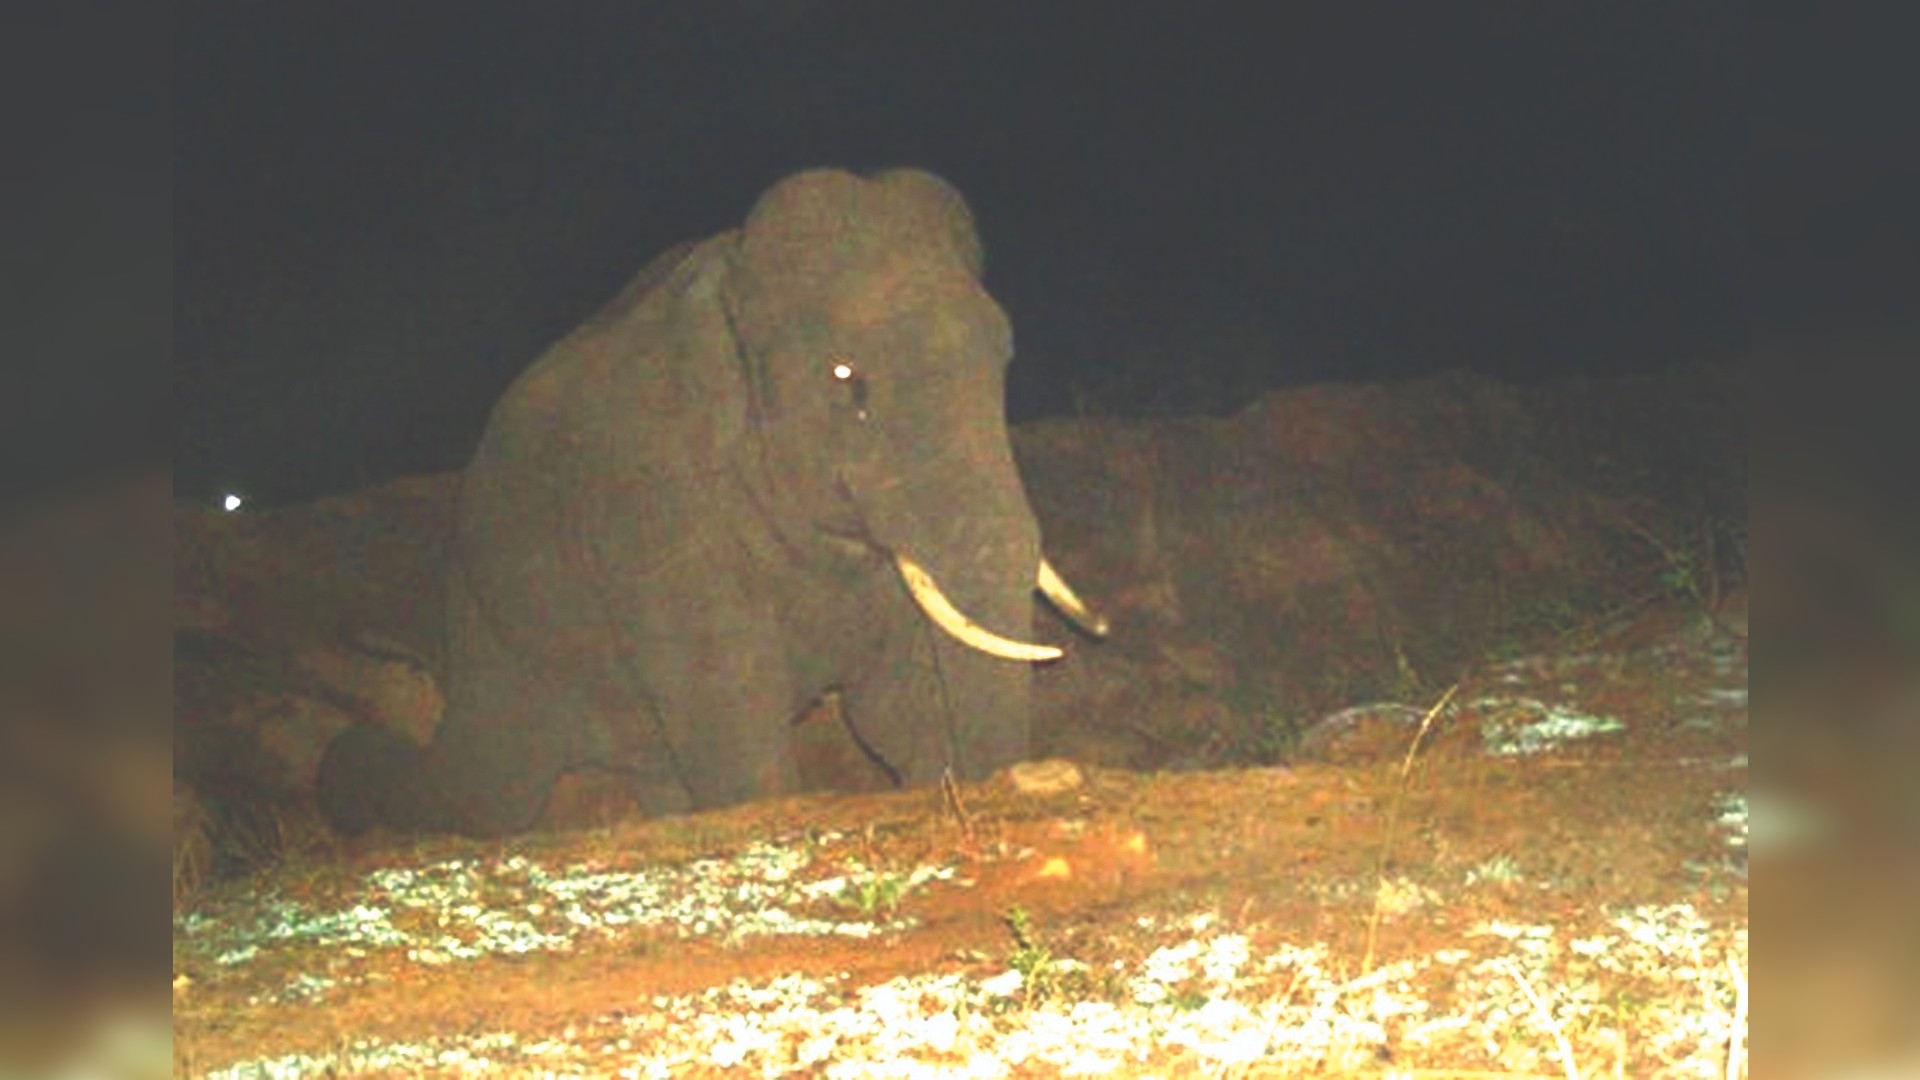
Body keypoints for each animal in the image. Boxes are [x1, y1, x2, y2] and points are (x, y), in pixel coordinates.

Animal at [318, 167, 1106, 837]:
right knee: (498, 794)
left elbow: (891, 705)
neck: (734, 285)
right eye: (844, 378)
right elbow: (736, 713)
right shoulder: (652, 508)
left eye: (1003, 359)